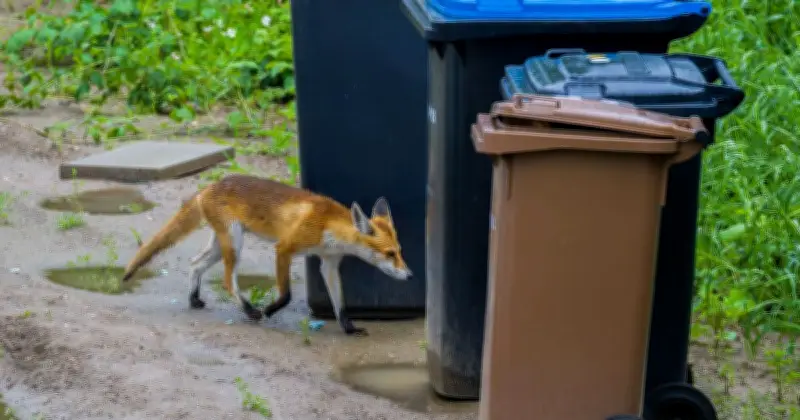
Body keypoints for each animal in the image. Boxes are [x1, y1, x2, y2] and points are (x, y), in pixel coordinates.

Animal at [121, 174, 413, 336]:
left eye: (399, 252)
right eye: (389, 254)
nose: (410, 276)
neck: (328, 226)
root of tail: (209, 187)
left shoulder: (329, 264)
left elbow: (339, 305)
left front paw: (349, 329)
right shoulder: (284, 248)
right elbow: (286, 295)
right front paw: (270, 310)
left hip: (221, 245)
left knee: (195, 264)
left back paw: (194, 299)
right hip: (235, 244)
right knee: (228, 281)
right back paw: (250, 311)